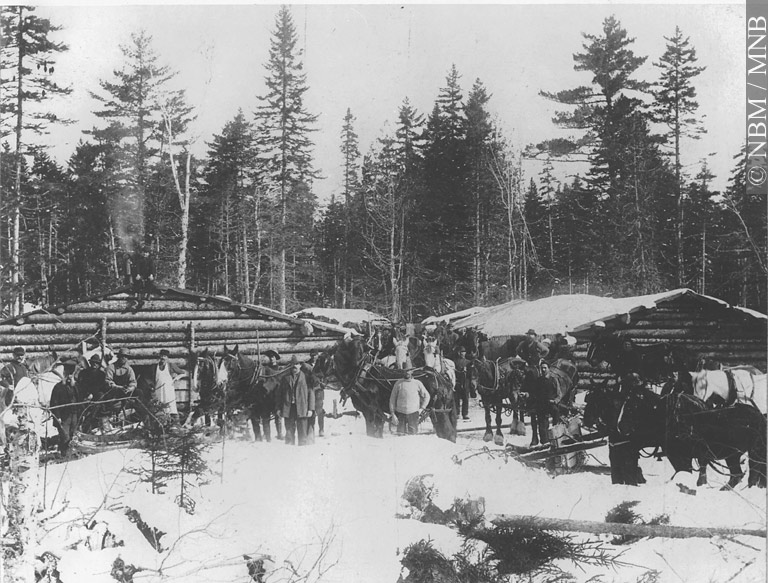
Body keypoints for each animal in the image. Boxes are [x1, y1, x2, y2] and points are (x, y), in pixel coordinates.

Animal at [318, 338, 456, 442]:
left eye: (323, 360)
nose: (317, 379)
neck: (360, 375)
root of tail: (443, 381)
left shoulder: (370, 411)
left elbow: (372, 432)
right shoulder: (377, 414)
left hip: (439, 412)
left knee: (449, 433)